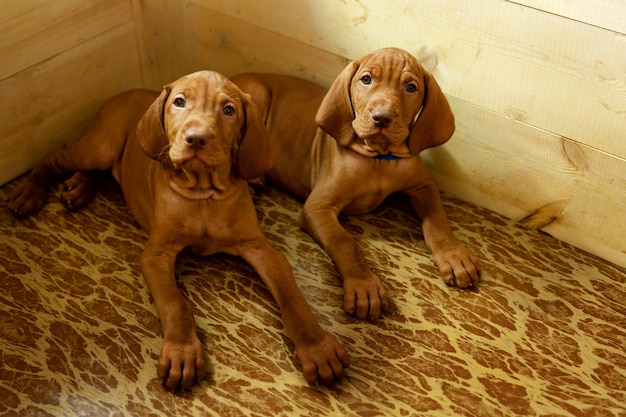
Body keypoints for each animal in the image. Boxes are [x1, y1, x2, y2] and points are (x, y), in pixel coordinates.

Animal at [9, 70, 348, 386]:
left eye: (228, 110)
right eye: (180, 102)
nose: (196, 138)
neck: (203, 194)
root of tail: (129, 91)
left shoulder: (263, 250)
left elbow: (293, 299)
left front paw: (316, 347)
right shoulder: (156, 255)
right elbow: (174, 303)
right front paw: (181, 352)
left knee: (98, 171)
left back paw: (80, 186)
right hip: (101, 146)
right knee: (55, 157)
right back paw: (31, 191)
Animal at [232, 47, 480, 320]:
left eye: (411, 87)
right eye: (366, 79)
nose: (381, 118)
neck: (379, 160)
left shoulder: (424, 185)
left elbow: (438, 221)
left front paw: (453, 255)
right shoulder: (318, 207)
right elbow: (345, 242)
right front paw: (364, 285)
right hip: (256, 94)